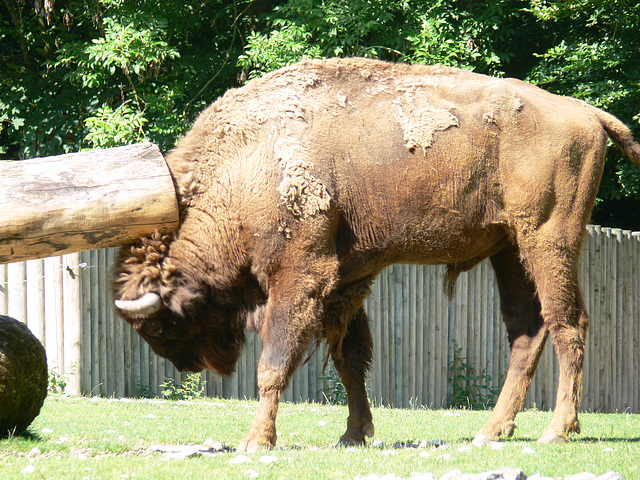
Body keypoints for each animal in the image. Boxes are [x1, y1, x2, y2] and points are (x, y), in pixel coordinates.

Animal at [112, 56, 640, 450]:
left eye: (160, 326)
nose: (189, 365)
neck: (245, 161)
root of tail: (587, 112)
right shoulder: (346, 282)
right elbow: (351, 358)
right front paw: (354, 434)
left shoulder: (299, 277)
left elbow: (274, 362)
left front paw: (256, 440)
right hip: (509, 248)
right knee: (525, 332)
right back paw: (491, 430)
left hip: (548, 238)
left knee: (568, 322)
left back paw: (557, 430)